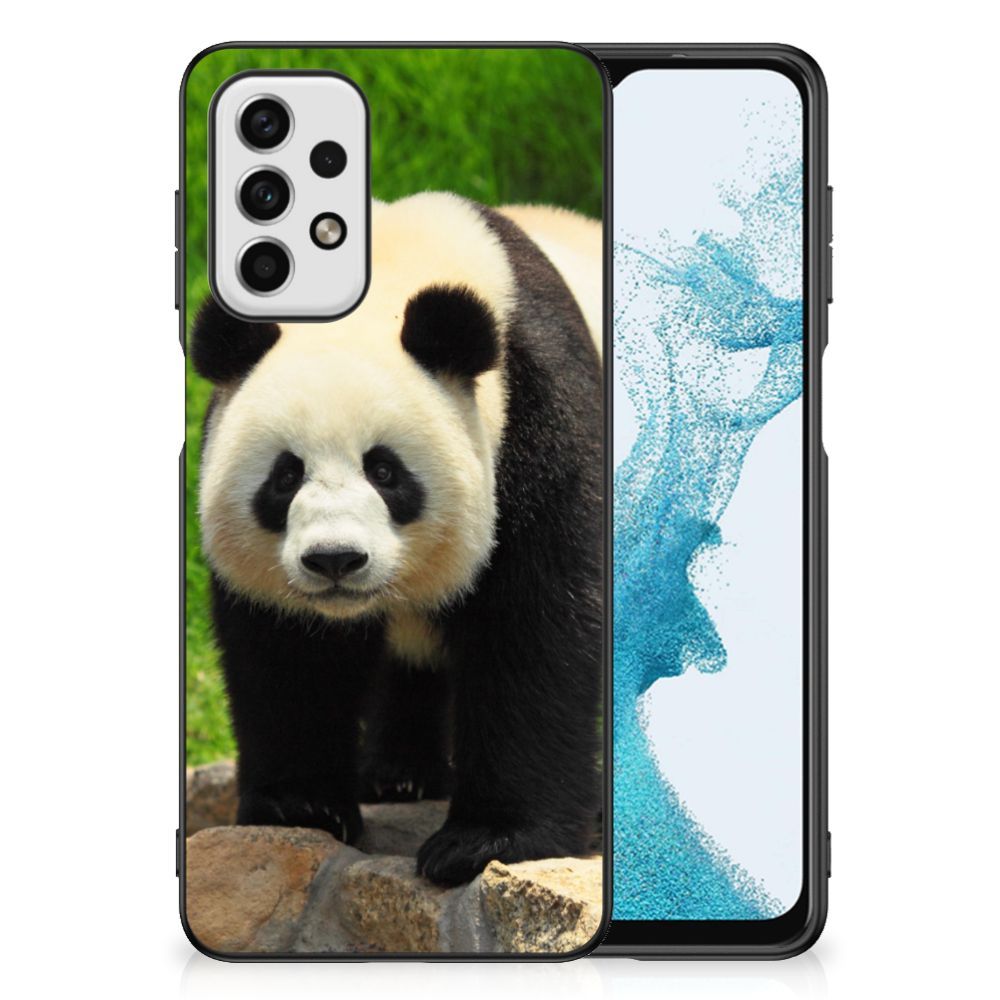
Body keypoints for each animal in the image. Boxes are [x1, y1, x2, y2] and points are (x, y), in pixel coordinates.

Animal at [192, 192, 603, 886]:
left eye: (384, 471)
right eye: (285, 476)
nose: (335, 560)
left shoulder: (539, 419)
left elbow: (538, 627)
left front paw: (485, 840)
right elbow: (287, 653)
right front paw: (301, 806)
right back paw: (399, 776)